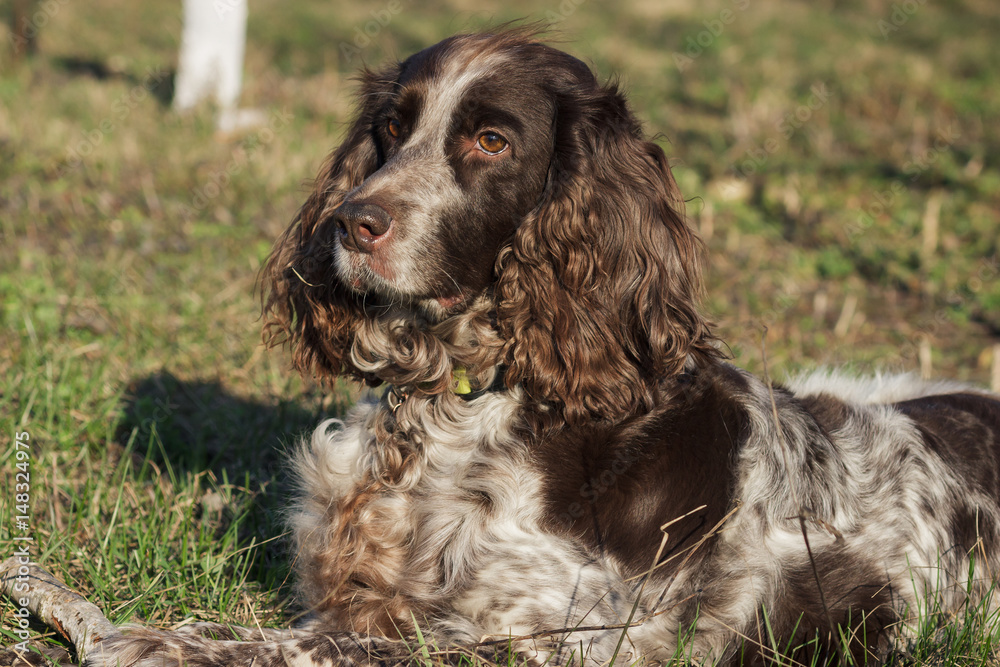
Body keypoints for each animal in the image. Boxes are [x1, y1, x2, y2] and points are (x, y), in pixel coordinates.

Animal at [64, 28, 1000, 667]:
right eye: (391, 127)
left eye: (491, 140)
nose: (352, 221)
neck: (451, 413)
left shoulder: (571, 637)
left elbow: (349, 648)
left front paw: (171, 640)